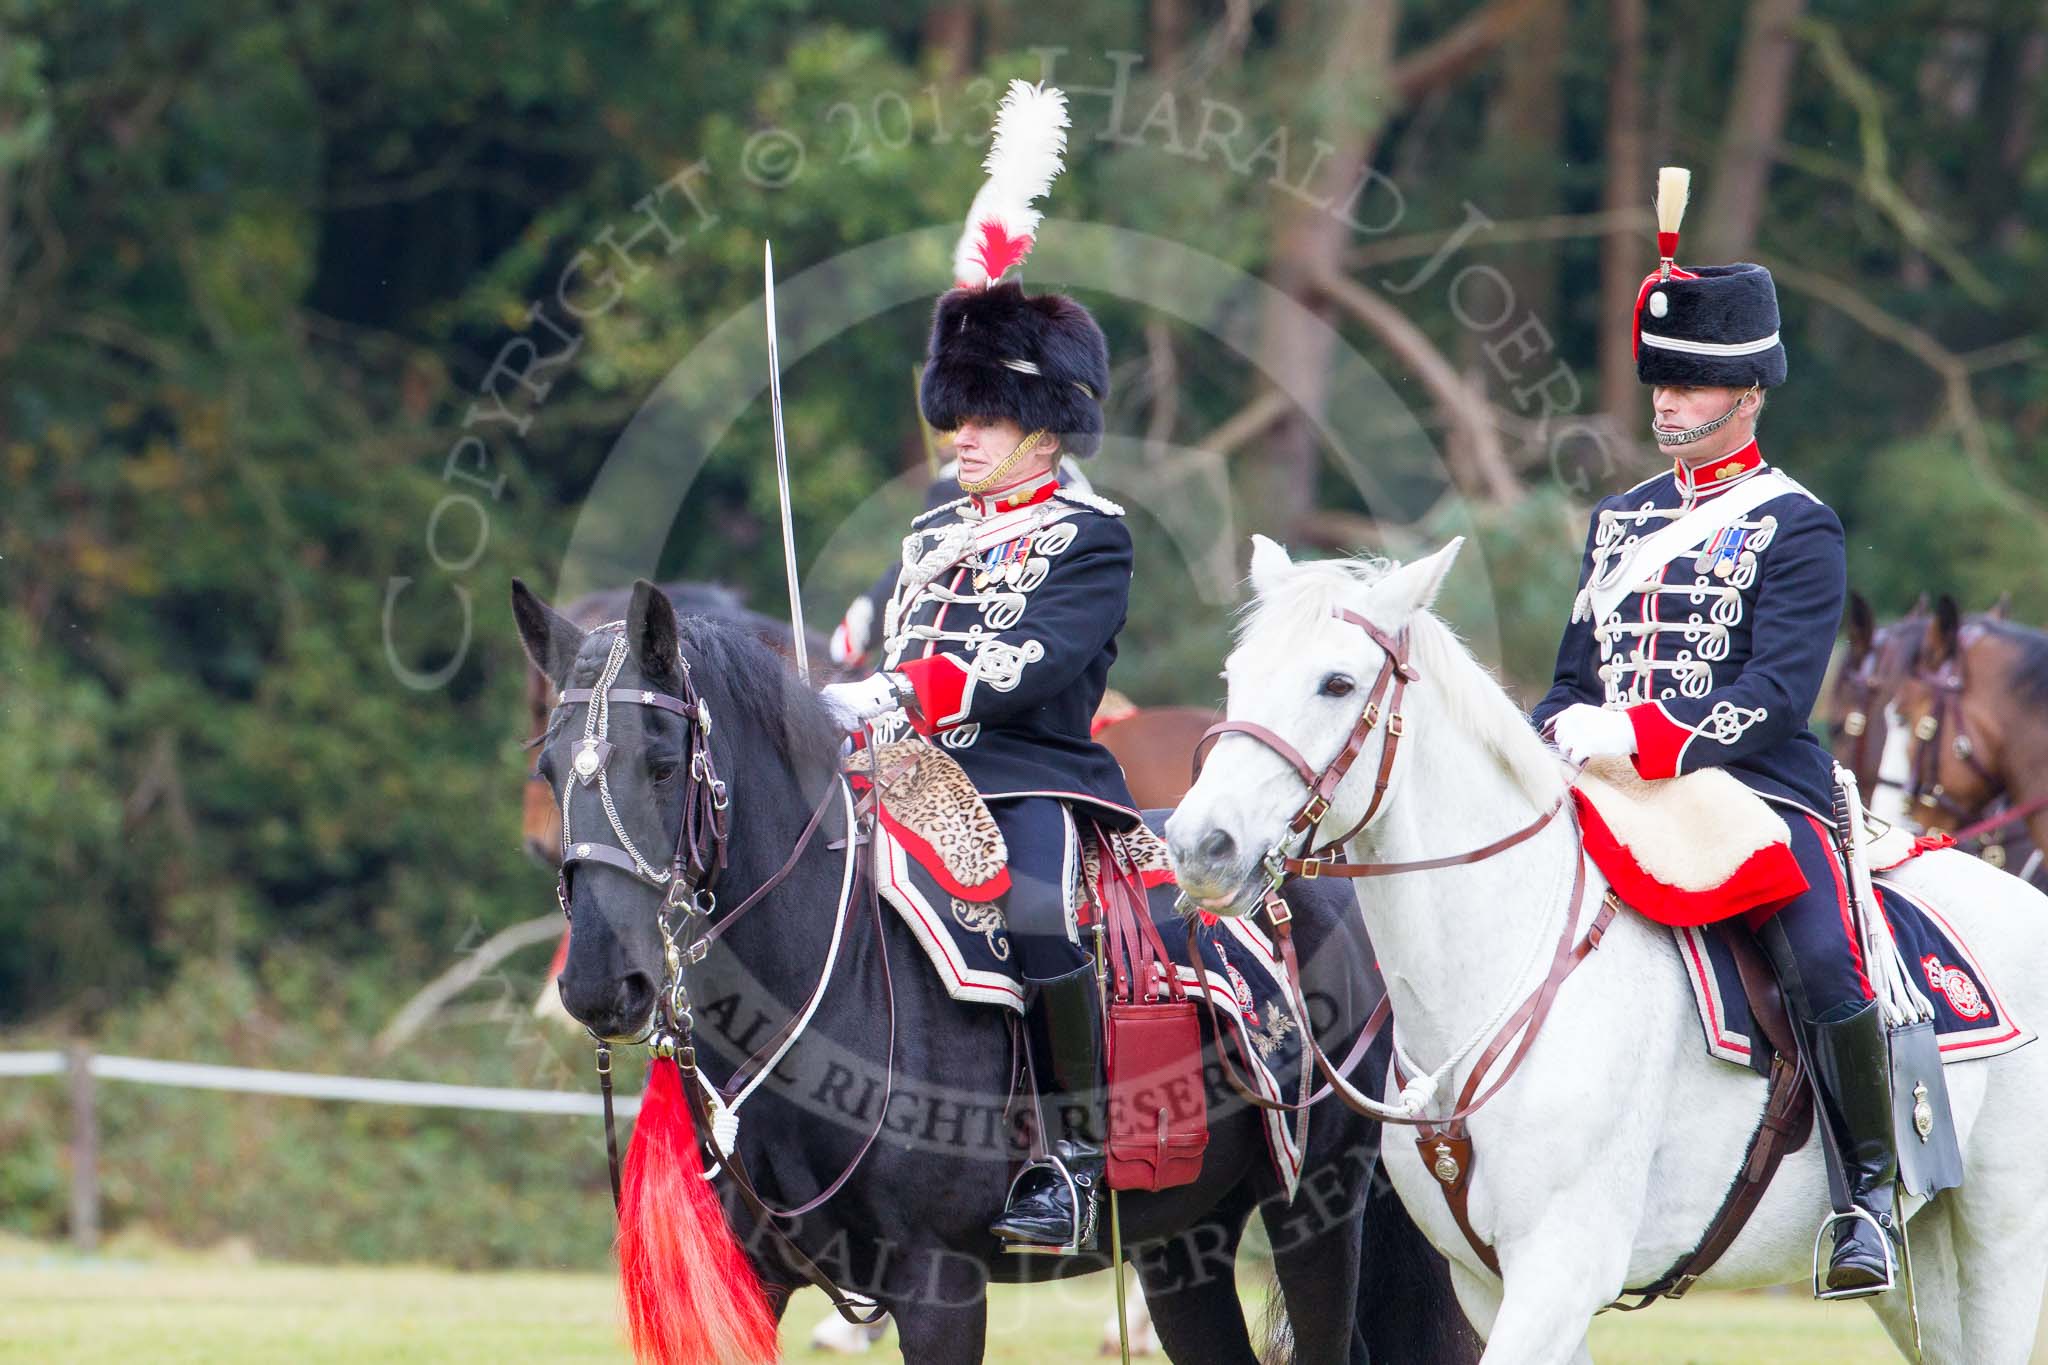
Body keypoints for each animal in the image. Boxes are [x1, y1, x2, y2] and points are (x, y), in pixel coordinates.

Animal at [509, 581, 1474, 1365]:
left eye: (661, 764)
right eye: (549, 766)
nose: (597, 985)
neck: (832, 975)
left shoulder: (940, 1287)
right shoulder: (752, 1277)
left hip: (1316, 1206)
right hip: (1182, 1232)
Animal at [1163, 540, 2048, 1365]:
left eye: (1338, 684)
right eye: (1237, 673)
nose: (1200, 845)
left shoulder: (1560, 1268)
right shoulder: (1491, 1285)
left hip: (1999, 1243)